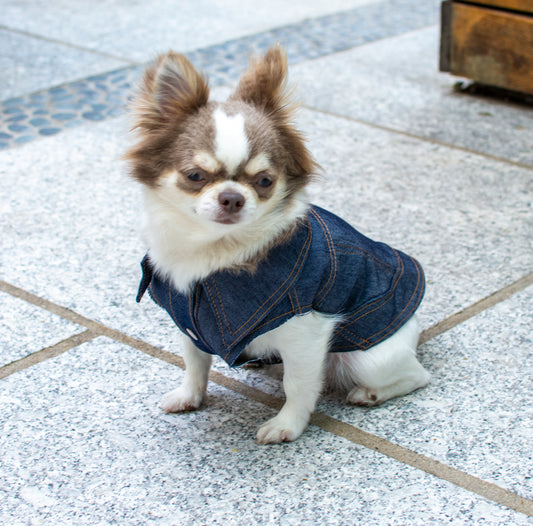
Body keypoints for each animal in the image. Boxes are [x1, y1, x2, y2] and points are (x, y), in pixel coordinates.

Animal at [127, 44, 430, 446]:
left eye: (265, 181)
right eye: (194, 176)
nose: (232, 197)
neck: (216, 251)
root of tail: (415, 331)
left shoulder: (307, 331)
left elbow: (298, 384)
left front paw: (288, 425)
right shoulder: (188, 322)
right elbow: (194, 362)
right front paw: (189, 396)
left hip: (368, 357)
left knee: (416, 376)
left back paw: (369, 394)